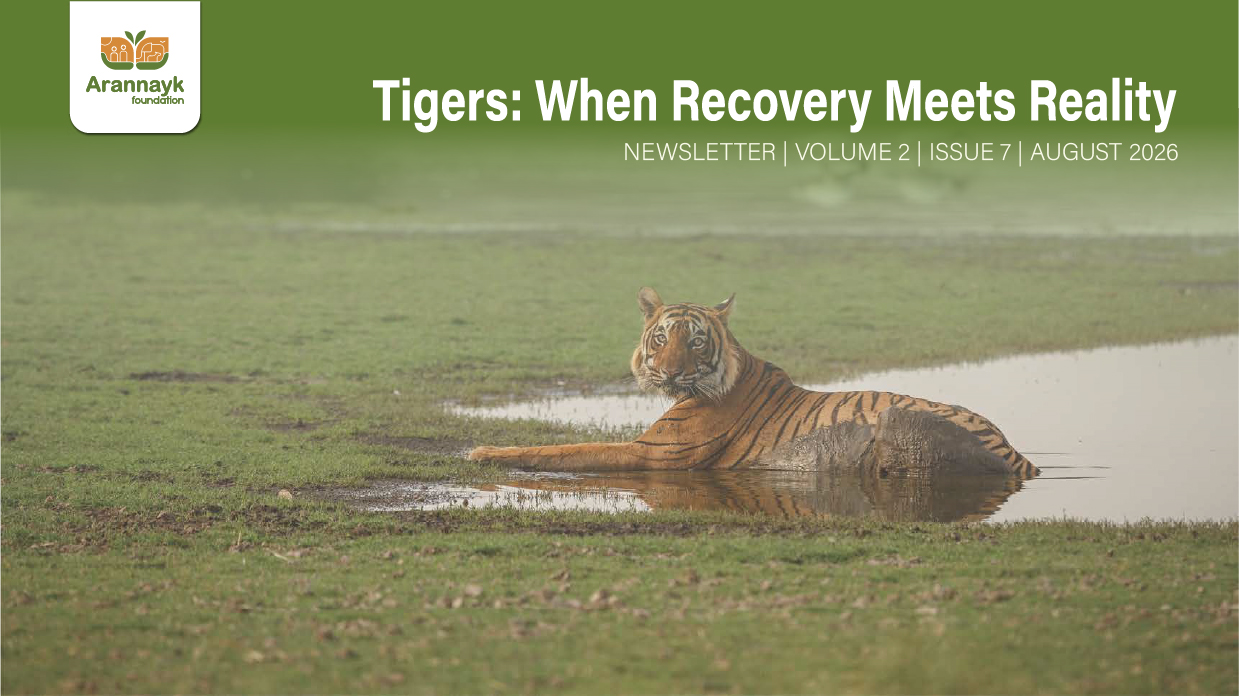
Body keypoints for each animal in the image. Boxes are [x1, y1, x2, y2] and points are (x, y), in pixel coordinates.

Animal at [468, 287, 1037, 478]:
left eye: (695, 341)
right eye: (661, 338)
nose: (669, 371)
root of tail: (1015, 451)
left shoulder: (652, 453)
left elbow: (561, 449)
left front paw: (481, 452)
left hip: (899, 418)